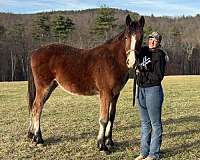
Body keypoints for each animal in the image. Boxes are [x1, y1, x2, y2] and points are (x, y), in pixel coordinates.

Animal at [27, 14, 145, 152]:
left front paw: (109, 141)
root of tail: (34, 52)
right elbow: (104, 119)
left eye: (141, 37)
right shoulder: (105, 93)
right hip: (44, 87)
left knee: (36, 108)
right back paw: (39, 139)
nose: (132, 62)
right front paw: (102, 145)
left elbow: (111, 117)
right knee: (37, 108)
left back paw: (35, 137)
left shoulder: (115, 94)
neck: (112, 60)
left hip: (50, 87)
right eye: (126, 37)